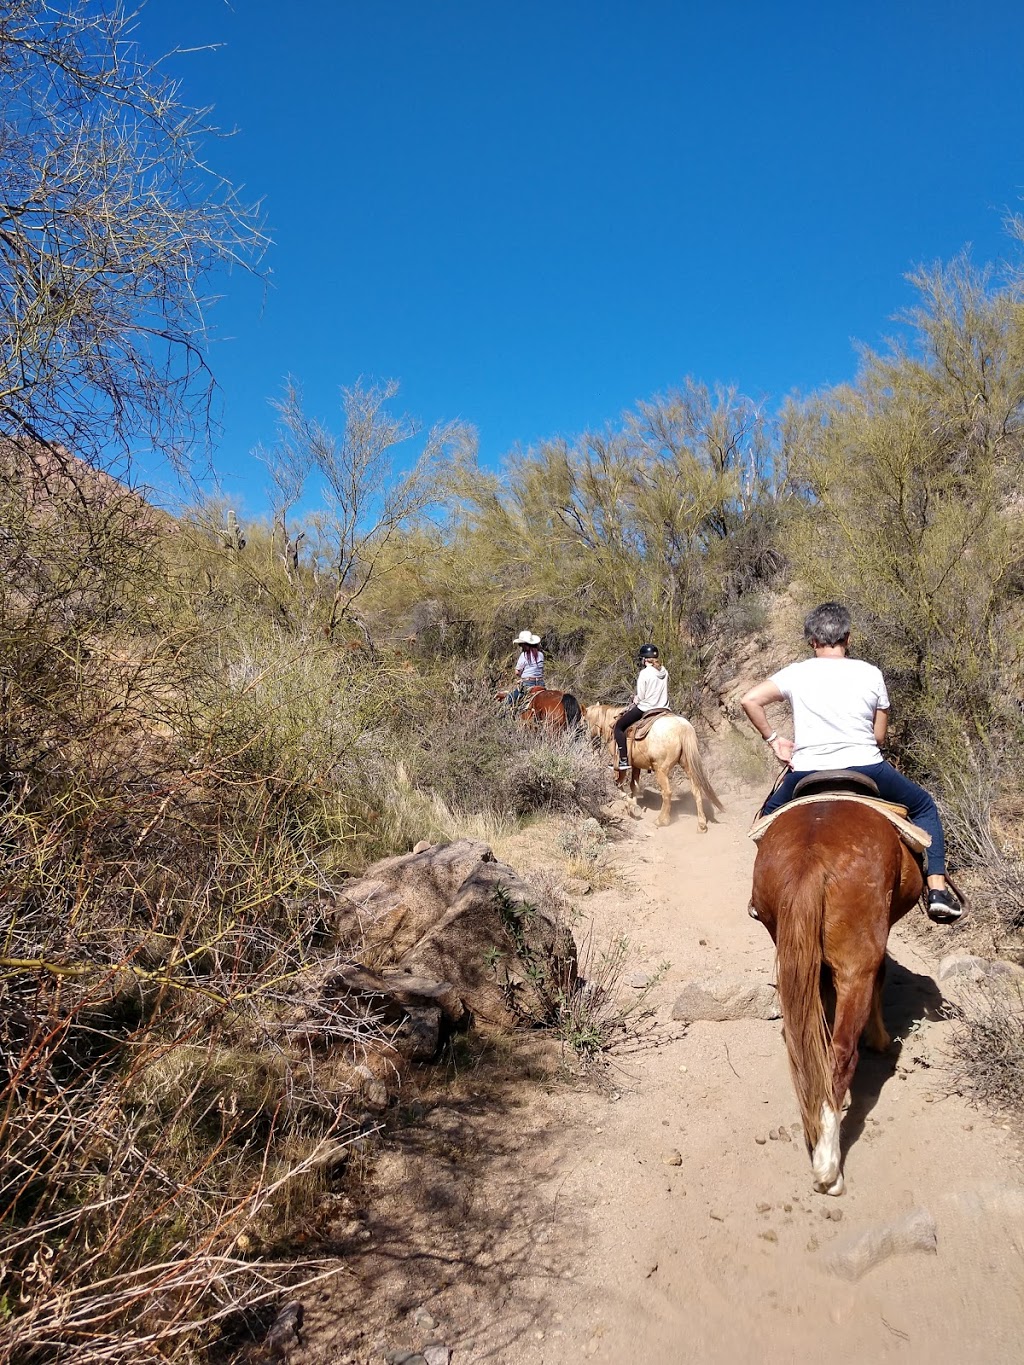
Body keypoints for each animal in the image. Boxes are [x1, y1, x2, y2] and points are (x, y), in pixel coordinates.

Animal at [584, 704, 720, 829]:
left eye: (583, 721)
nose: (589, 741)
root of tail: (683, 727)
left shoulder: (620, 766)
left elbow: (618, 785)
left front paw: (632, 806)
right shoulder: (636, 765)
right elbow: (634, 786)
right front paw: (634, 806)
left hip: (661, 770)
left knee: (667, 793)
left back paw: (661, 820)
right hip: (688, 766)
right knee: (696, 790)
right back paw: (701, 824)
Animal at [748, 797, 928, 1195]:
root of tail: (811, 855)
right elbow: (881, 978)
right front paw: (880, 1038)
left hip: (789, 940)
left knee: (806, 1039)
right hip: (854, 964)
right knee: (842, 1053)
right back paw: (828, 1166)